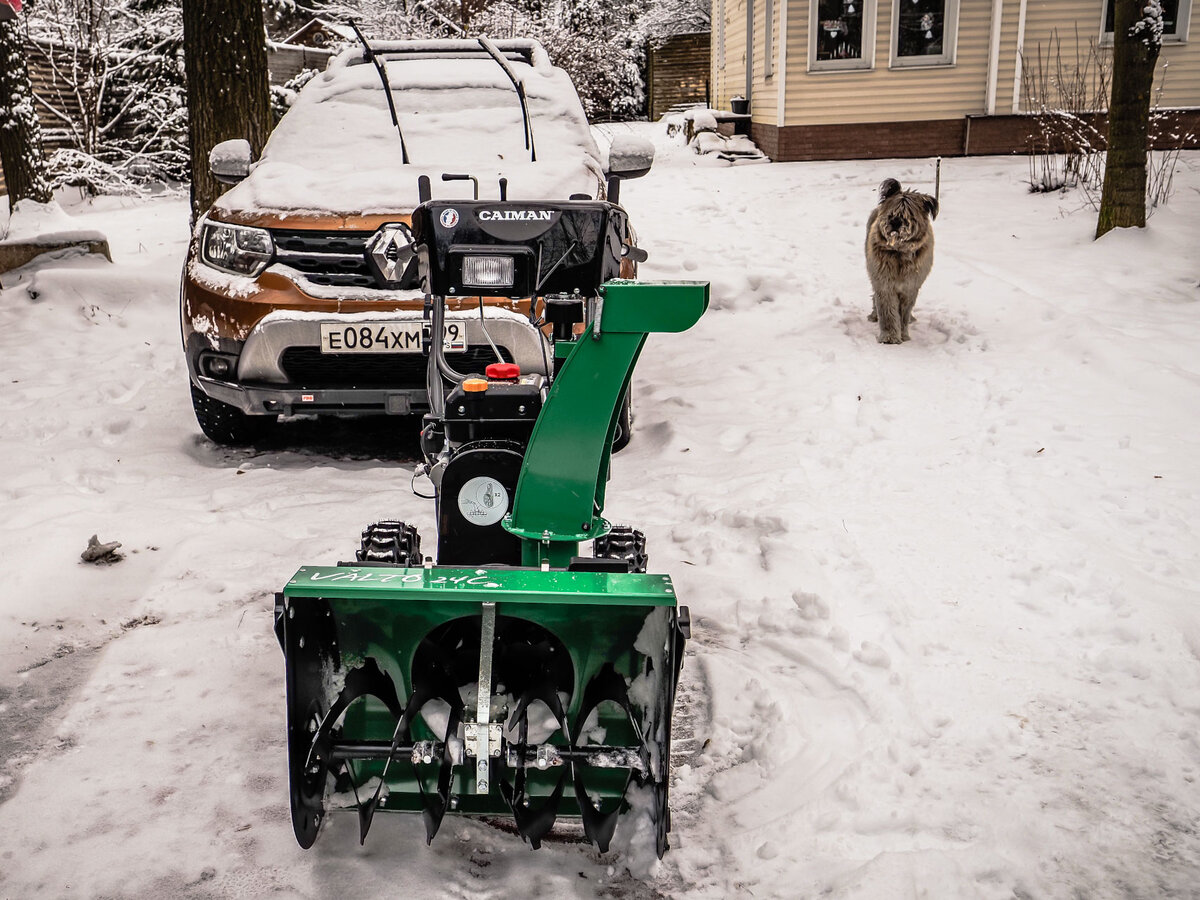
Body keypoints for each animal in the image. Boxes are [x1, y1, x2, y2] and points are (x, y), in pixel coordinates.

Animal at [868, 177, 940, 343]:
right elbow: (888, 310)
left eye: (910, 213)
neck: (899, 252)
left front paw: (903, 333)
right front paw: (890, 336)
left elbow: (904, 312)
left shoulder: (910, 286)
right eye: (892, 210)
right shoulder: (884, 283)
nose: (895, 222)